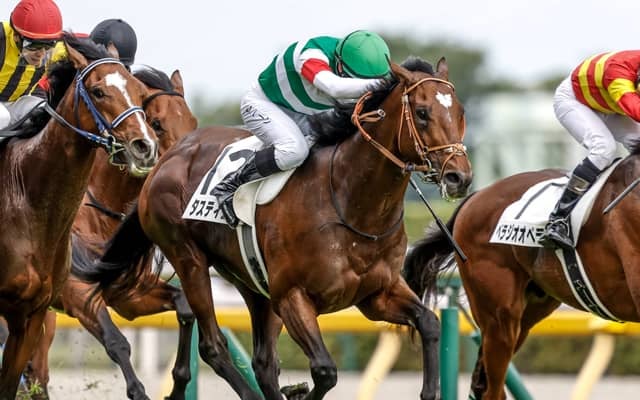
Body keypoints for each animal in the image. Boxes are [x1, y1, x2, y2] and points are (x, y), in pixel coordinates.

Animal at [17, 66, 197, 400]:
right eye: (156, 123)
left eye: (192, 122)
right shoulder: (77, 292)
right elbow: (116, 342)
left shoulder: (129, 295)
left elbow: (185, 307)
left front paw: (178, 385)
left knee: (37, 371)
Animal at [80, 56, 472, 400]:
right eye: (422, 113)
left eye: (460, 112)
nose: (459, 177)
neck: (351, 202)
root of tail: (168, 159)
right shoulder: (293, 296)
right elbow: (325, 371)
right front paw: (298, 391)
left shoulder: (377, 294)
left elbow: (429, 323)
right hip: (190, 261)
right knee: (213, 346)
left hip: (253, 283)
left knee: (264, 361)